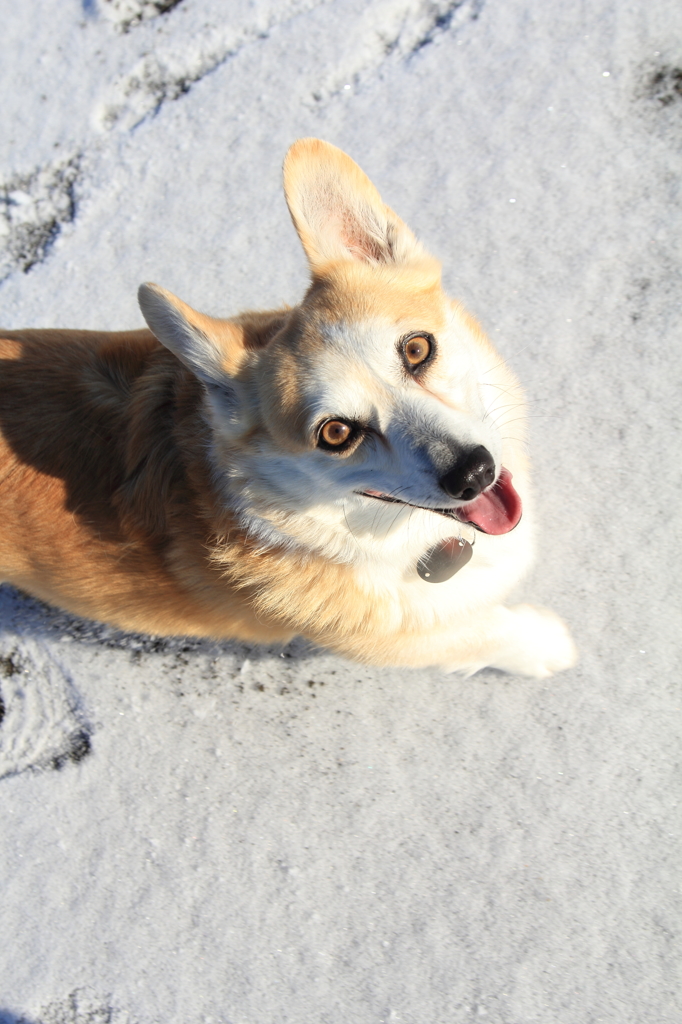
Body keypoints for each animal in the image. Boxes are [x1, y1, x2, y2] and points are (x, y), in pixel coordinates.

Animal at [0, 140, 573, 675]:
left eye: (416, 349)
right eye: (336, 434)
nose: (473, 473)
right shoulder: (397, 639)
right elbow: (479, 634)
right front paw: (549, 645)